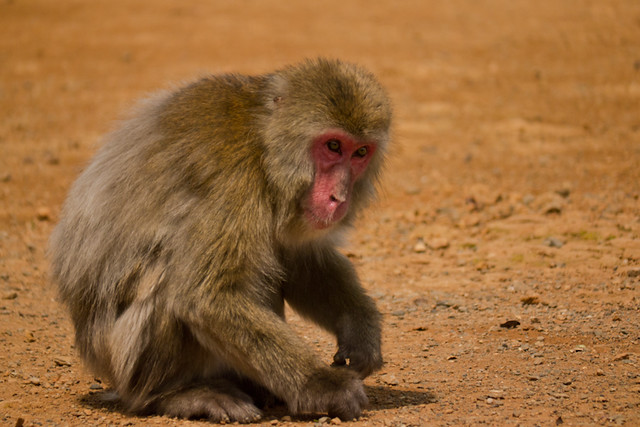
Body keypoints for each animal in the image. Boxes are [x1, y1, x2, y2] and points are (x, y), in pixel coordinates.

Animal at [48, 57, 390, 424]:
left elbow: (301, 262)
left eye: (361, 152)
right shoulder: (234, 179)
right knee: (168, 280)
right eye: (333, 146)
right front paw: (322, 384)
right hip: (121, 358)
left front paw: (359, 328)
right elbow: (206, 297)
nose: (338, 197)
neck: (264, 145)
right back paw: (174, 395)